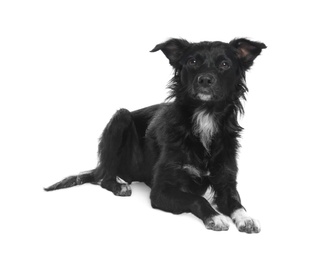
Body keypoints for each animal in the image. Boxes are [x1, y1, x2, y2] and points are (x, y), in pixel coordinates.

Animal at [45, 38, 266, 234]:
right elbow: (198, 199)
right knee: (105, 178)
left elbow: (237, 203)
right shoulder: (161, 191)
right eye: (192, 62)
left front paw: (246, 219)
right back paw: (119, 185)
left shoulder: (225, 182)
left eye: (224, 64)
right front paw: (215, 217)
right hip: (121, 117)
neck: (204, 118)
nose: (204, 79)